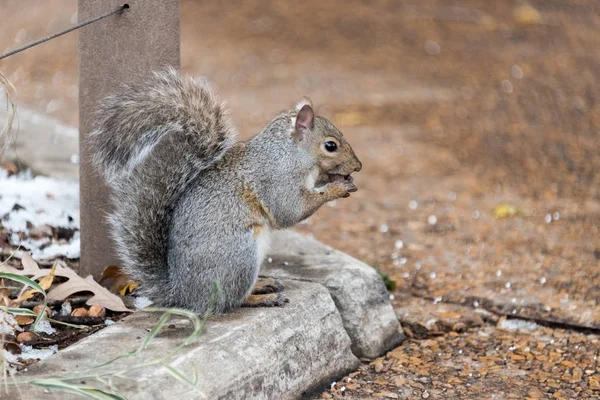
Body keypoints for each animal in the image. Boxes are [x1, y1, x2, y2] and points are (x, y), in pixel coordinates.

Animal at [88, 67, 360, 314]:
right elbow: (289, 212)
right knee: (231, 301)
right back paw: (261, 297)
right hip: (240, 255)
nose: (358, 166)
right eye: (331, 146)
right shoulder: (277, 179)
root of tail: (183, 294)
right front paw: (336, 187)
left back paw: (263, 284)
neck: (289, 153)